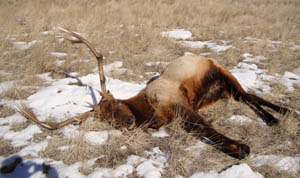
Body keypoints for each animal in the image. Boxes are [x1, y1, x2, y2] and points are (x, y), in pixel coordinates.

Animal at [20, 28, 290, 160]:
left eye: (115, 102)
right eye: (105, 119)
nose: (129, 122)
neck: (150, 113)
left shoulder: (178, 102)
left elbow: (207, 129)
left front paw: (241, 148)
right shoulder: (179, 114)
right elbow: (203, 130)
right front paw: (238, 147)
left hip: (223, 72)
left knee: (249, 95)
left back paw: (281, 112)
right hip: (221, 92)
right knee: (246, 97)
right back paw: (277, 116)